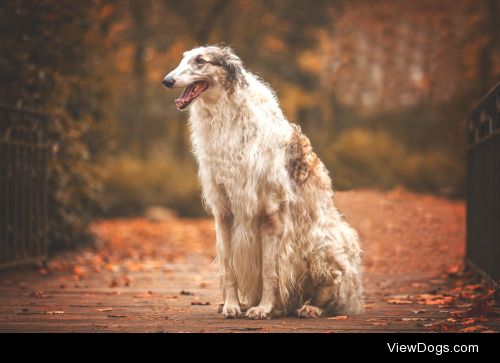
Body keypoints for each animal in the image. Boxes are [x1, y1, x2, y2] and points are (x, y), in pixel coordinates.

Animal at [164, 46, 364, 322]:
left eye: (200, 60)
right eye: (183, 58)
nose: (167, 81)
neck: (227, 118)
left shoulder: (270, 213)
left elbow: (270, 271)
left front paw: (263, 308)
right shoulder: (223, 212)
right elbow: (229, 268)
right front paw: (232, 305)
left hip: (323, 247)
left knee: (333, 291)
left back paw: (310, 307)